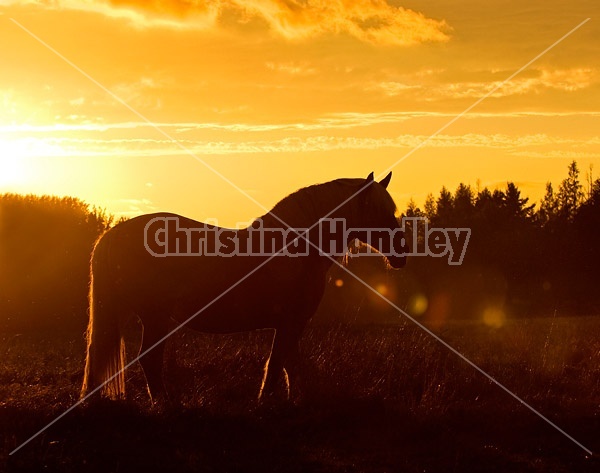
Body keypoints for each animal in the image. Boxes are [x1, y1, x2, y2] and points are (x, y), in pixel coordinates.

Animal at [81, 171, 408, 404]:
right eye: (379, 211)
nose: (401, 255)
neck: (296, 248)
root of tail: (113, 235)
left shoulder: (290, 323)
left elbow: (289, 364)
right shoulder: (291, 322)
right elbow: (278, 365)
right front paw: (267, 404)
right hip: (154, 317)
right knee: (149, 359)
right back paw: (167, 405)